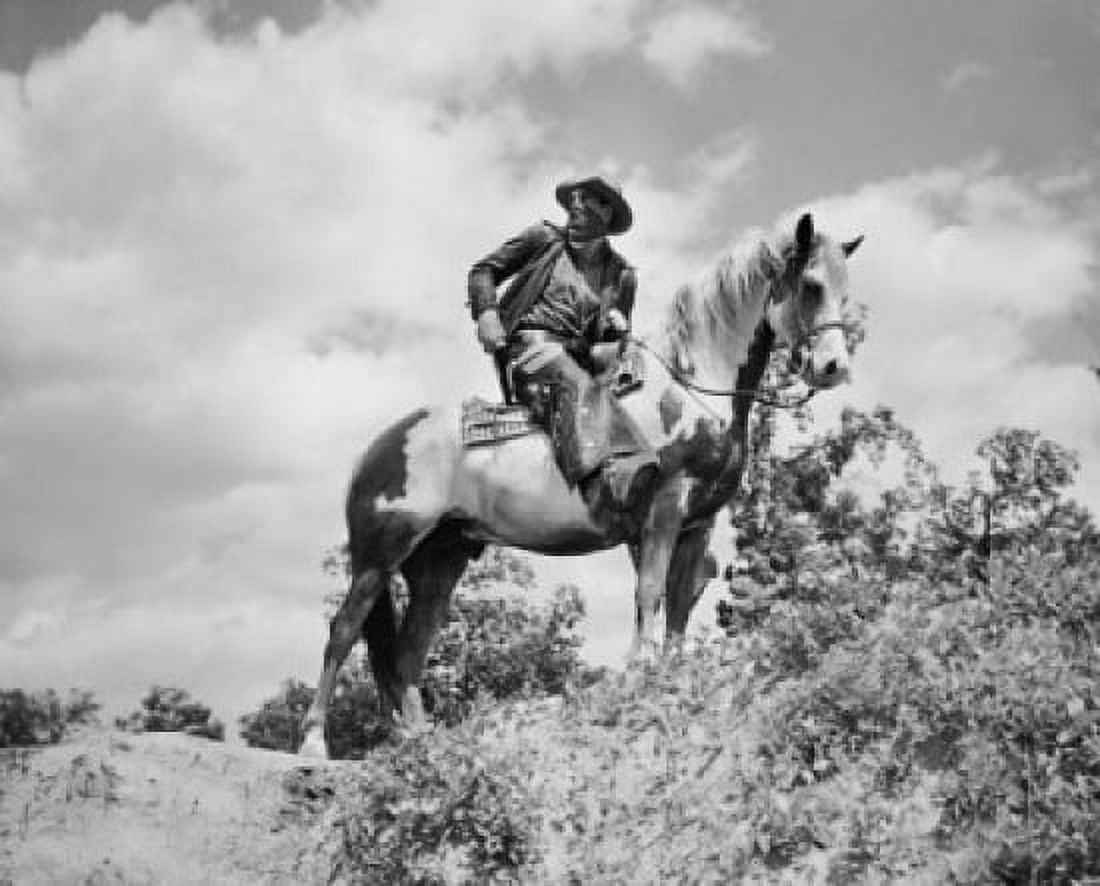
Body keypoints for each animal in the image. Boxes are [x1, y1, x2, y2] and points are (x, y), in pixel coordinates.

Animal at [299, 212, 863, 757]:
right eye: (811, 285)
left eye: (844, 290)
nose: (834, 367)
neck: (689, 391)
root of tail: (377, 448)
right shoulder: (664, 507)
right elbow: (650, 593)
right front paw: (640, 682)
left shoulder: (697, 523)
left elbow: (679, 607)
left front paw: (677, 693)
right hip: (381, 552)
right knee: (344, 630)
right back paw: (313, 741)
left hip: (441, 558)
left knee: (410, 651)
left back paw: (421, 742)